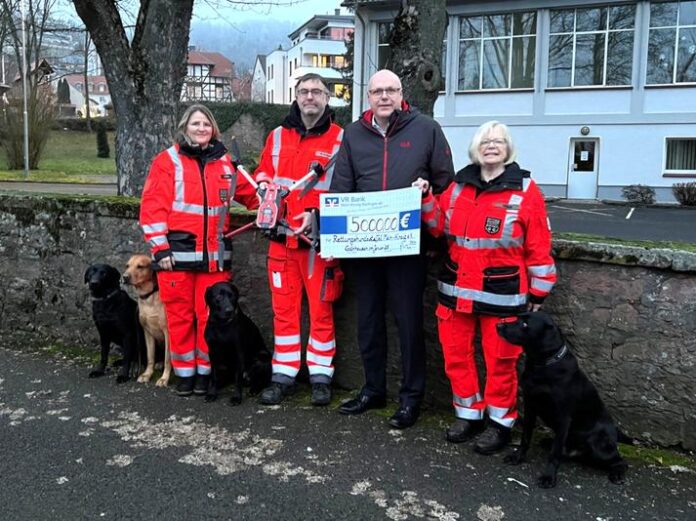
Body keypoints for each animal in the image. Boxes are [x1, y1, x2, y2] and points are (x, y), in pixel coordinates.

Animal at [122, 254, 171, 384]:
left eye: (140, 266)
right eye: (127, 265)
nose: (124, 277)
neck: (148, 296)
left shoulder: (167, 332)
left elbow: (168, 359)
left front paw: (164, 378)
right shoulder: (147, 332)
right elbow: (150, 357)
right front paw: (147, 374)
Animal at [498, 312, 628, 488]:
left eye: (525, 324)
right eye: (518, 318)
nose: (498, 325)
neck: (543, 365)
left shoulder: (564, 418)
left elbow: (555, 453)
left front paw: (548, 477)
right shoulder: (530, 406)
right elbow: (525, 438)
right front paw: (518, 457)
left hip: (598, 444)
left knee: (621, 461)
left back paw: (617, 474)